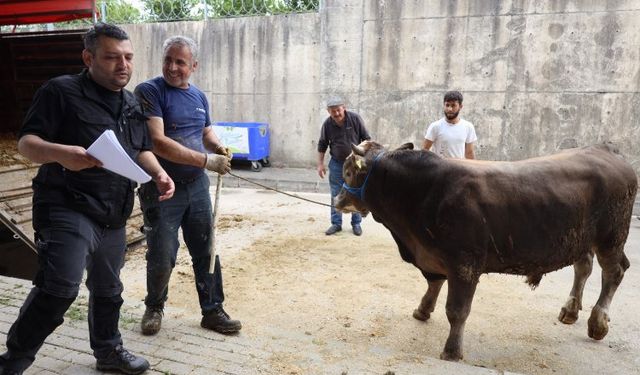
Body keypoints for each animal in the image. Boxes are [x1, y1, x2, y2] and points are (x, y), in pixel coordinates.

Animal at [338, 140, 636, 362]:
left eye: (348, 171)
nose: (338, 199)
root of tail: (606, 149)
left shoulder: (465, 264)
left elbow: (457, 310)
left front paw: (452, 351)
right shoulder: (434, 255)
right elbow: (433, 284)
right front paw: (422, 310)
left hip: (611, 238)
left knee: (615, 272)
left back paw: (598, 323)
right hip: (580, 239)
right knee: (583, 267)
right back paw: (570, 310)